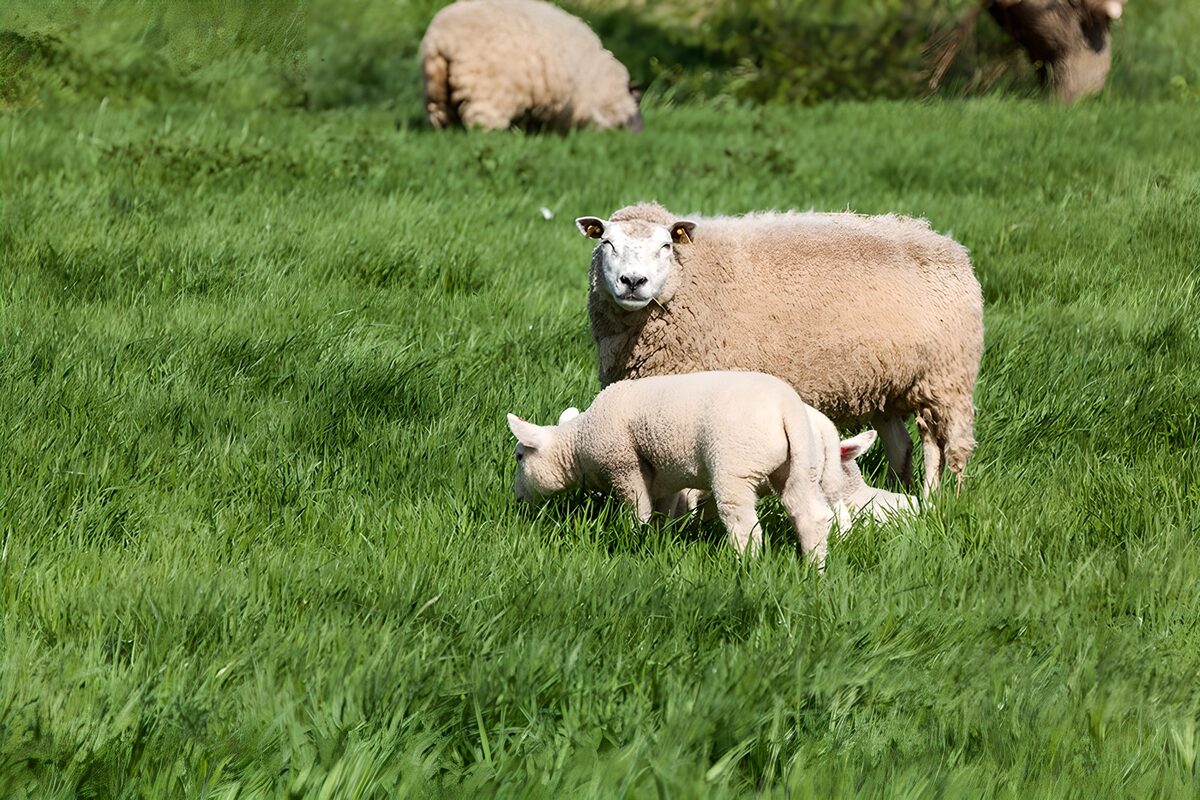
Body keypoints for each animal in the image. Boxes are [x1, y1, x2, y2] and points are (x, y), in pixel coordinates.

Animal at [419, 0, 643, 132]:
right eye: (637, 103)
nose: (639, 133)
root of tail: (443, 38)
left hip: (436, 84)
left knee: (439, 114)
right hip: (487, 90)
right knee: (481, 122)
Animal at [506, 371, 915, 566]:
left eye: (519, 457)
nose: (516, 501)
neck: (581, 441)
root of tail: (789, 408)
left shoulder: (625, 465)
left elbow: (637, 509)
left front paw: (634, 537)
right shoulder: (664, 473)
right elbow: (663, 509)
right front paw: (660, 538)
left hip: (735, 466)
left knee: (746, 526)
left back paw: (744, 565)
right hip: (800, 469)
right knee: (813, 517)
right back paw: (814, 568)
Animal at [576, 202, 984, 496]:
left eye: (665, 246)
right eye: (607, 243)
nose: (633, 281)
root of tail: (946, 243)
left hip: (946, 379)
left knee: (949, 446)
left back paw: (944, 500)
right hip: (891, 384)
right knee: (908, 446)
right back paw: (909, 492)